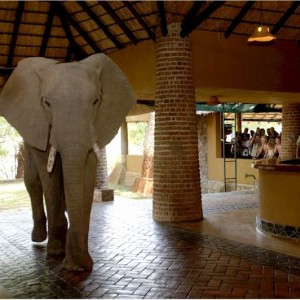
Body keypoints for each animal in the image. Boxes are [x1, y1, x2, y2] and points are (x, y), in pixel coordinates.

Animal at [0, 54, 136, 272]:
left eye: (96, 101)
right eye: (46, 103)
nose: (78, 265)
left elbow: (86, 172)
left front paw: (79, 262)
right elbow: (49, 176)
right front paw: (58, 253)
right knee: (32, 180)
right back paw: (39, 238)